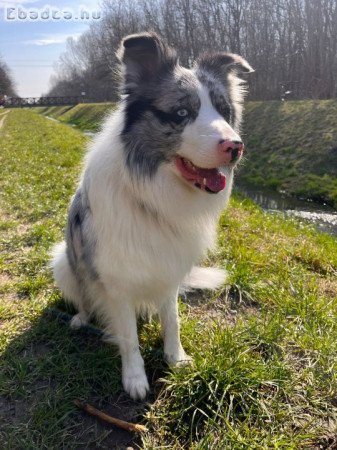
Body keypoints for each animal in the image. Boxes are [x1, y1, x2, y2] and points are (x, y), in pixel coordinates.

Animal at [51, 31, 252, 400]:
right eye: (182, 112)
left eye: (224, 110)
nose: (235, 147)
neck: (155, 193)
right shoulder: (116, 282)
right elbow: (129, 337)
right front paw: (135, 378)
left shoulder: (170, 270)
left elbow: (172, 321)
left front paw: (176, 358)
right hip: (63, 259)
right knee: (84, 298)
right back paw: (80, 319)